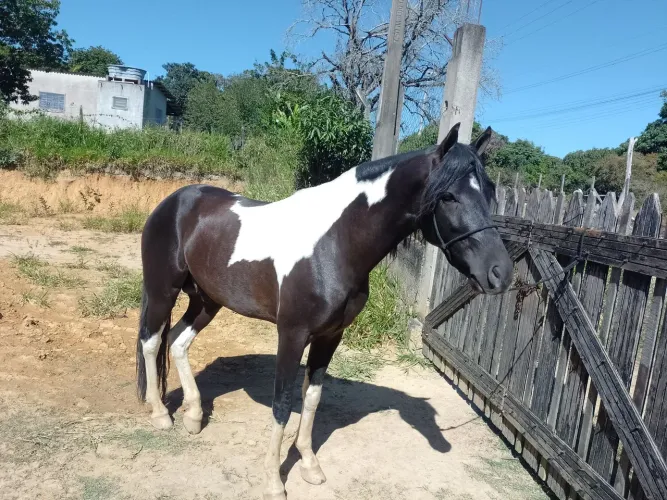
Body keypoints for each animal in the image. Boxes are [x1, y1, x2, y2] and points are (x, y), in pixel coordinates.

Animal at [135, 122, 513, 500]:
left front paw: (308, 464)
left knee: (178, 341)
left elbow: (313, 397)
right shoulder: (291, 335)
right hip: (162, 291)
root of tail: (175, 201)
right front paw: (273, 480)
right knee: (151, 342)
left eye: (490, 192)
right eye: (448, 196)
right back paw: (160, 414)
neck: (335, 244)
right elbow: (282, 403)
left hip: (207, 300)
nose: (501, 273)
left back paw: (194, 415)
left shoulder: (330, 336)